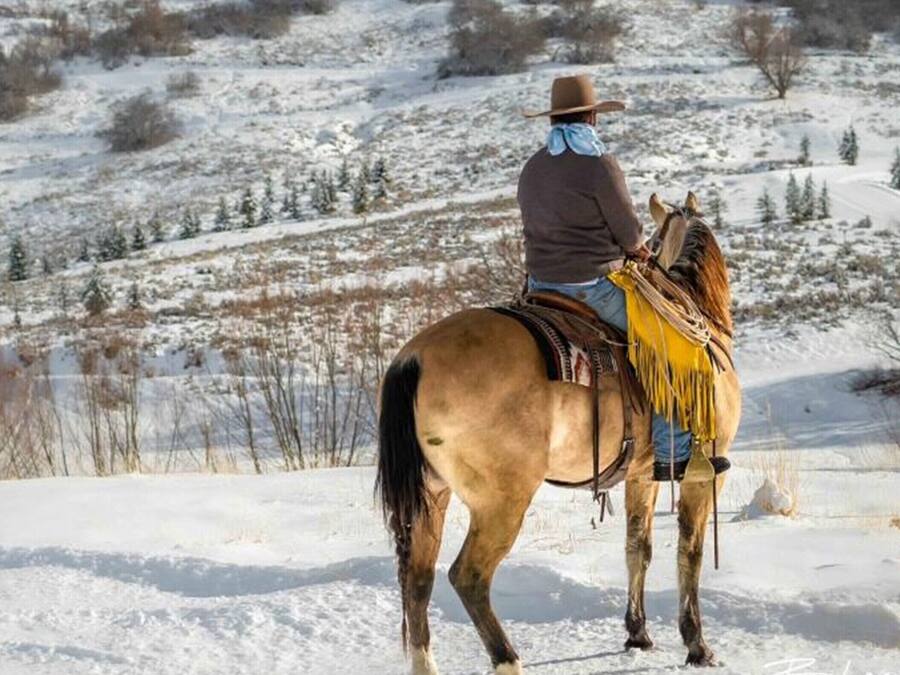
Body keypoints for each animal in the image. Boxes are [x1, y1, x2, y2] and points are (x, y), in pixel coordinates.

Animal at [375, 191, 741, 674]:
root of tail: (413, 360)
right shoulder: (704, 474)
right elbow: (690, 550)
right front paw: (697, 645)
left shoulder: (643, 474)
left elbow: (637, 546)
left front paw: (638, 633)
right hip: (501, 502)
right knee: (468, 576)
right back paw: (508, 660)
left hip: (432, 495)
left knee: (417, 579)